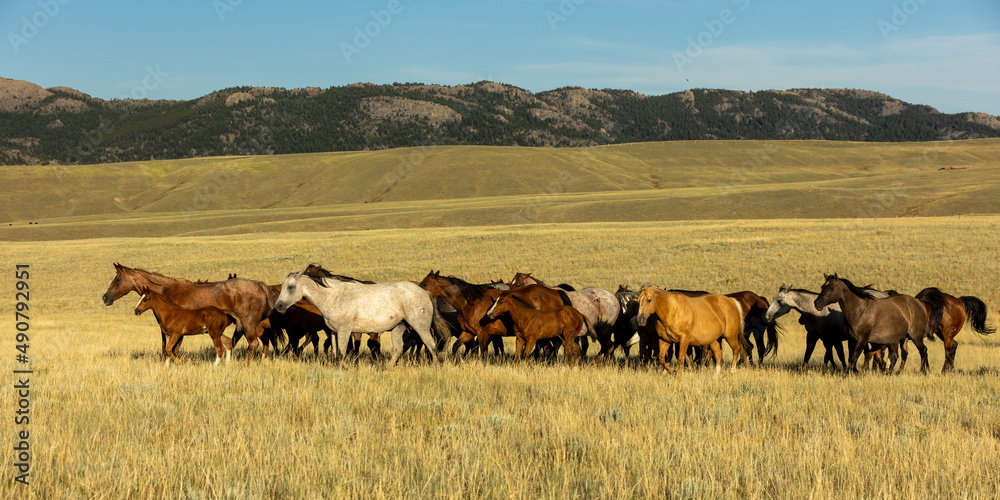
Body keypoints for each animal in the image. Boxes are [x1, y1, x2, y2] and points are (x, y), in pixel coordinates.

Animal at [101, 262, 274, 364]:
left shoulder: (179, 330)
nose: (105, 298)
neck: (168, 291)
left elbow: (173, 349)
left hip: (247, 324)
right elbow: (166, 348)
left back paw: (247, 365)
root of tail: (259, 284)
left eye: (118, 279)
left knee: (253, 343)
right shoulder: (166, 330)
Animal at [272, 268, 448, 370]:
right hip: (399, 327)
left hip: (420, 327)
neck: (335, 296)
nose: (278, 306)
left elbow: (342, 352)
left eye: (291, 287)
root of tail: (425, 292)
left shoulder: (344, 331)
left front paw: (344, 368)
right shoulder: (334, 332)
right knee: (398, 349)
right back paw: (386, 368)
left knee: (431, 345)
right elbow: (335, 352)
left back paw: (436, 367)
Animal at [812, 274, 944, 376]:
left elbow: (855, 356)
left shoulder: (862, 339)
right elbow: (854, 357)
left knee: (923, 351)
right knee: (896, 355)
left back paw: (924, 371)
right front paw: (857, 372)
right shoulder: (853, 339)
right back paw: (890, 373)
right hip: (895, 339)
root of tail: (918, 302)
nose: (816, 303)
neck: (860, 310)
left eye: (832, 288)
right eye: (822, 286)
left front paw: (847, 375)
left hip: (915, 336)